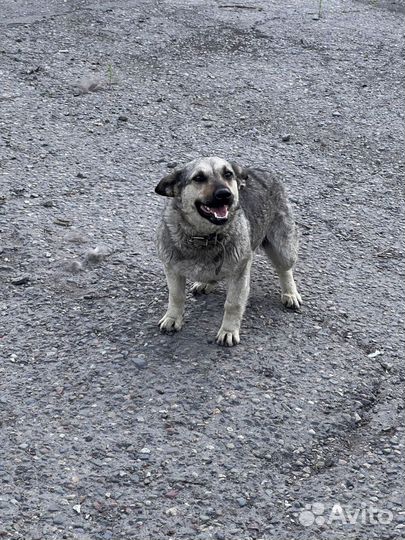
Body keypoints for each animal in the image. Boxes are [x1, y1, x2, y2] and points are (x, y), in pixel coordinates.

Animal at [154, 156, 300, 346]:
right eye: (198, 178)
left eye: (228, 174)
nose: (225, 194)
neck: (205, 236)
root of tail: (262, 172)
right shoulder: (171, 268)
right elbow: (176, 295)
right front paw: (173, 318)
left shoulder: (240, 272)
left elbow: (233, 304)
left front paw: (228, 331)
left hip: (283, 249)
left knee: (284, 269)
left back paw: (290, 293)